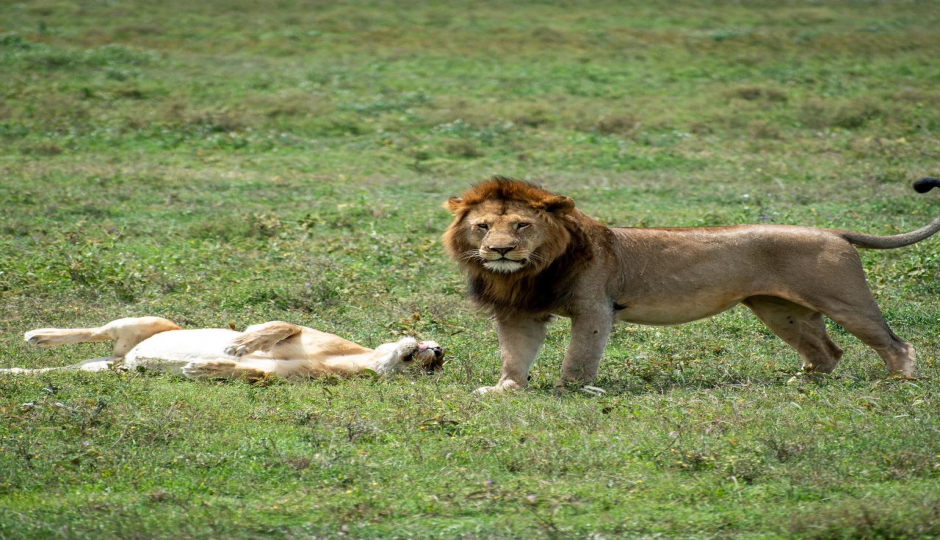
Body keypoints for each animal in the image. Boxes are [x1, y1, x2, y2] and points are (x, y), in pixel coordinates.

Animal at [442, 176, 940, 392]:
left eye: (522, 225)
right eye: (483, 226)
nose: (500, 250)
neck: (529, 272)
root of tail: (833, 231)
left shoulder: (595, 307)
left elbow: (579, 358)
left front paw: (571, 392)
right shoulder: (518, 312)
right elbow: (515, 355)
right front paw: (506, 389)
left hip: (845, 300)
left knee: (896, 343)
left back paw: (900, 383)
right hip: (780, 310)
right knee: (827, 352)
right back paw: (799, 382)